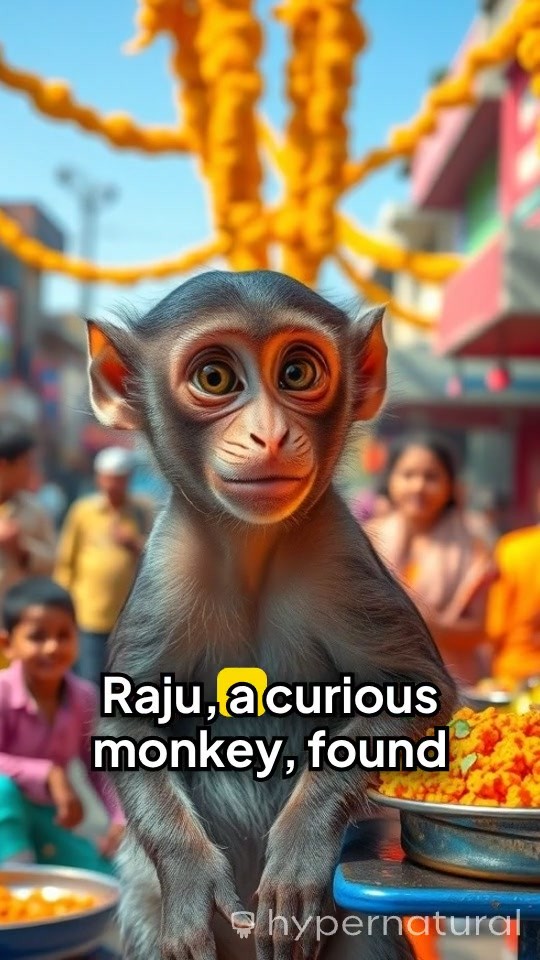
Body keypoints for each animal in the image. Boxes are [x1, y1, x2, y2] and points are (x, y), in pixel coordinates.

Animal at [86, 270, 457, 960]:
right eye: (215, 378)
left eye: (297, 372)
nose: (271, 434)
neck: (251, 548)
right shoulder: (166, 571)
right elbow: (127, 725)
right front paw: (190, 877)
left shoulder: (339, 555)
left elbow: (417, 692)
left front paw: (299, 848)